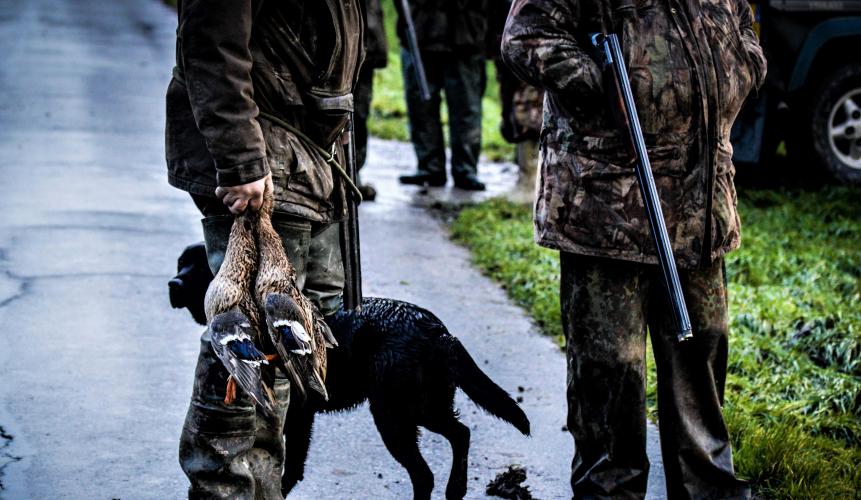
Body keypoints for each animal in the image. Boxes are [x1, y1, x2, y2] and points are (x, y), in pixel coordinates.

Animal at [170, 241, 532, 496]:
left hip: (396, 413)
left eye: (199, 269)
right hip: (424, 406)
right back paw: (457, 488)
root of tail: (438, 330)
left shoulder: (297, 412)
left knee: (426, 472)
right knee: (460, 434)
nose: (173, 284)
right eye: (180, 263)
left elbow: (287, 464)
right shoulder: (302, 414)